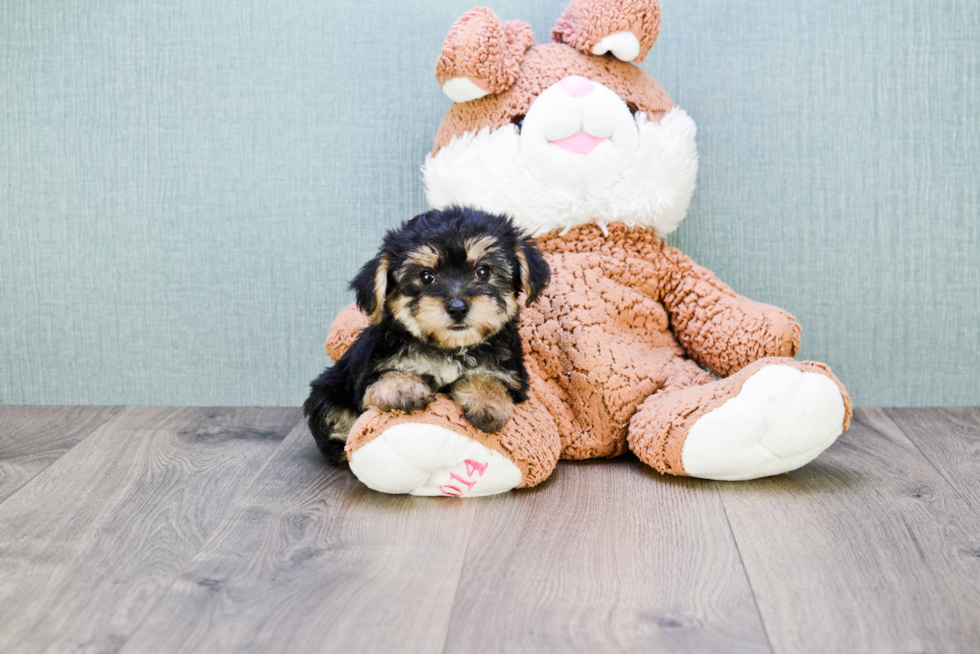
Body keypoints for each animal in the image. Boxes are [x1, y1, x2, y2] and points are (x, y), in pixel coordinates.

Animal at [302, 206, 552, 466]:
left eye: (483, 271)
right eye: (426, 276)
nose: (457, 307)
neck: (450, 349)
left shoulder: (511, 374)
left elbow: (491, 379)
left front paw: (488, 401)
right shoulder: (369, 371)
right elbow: (386, 376)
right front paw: (402, 387)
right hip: (328, 388)